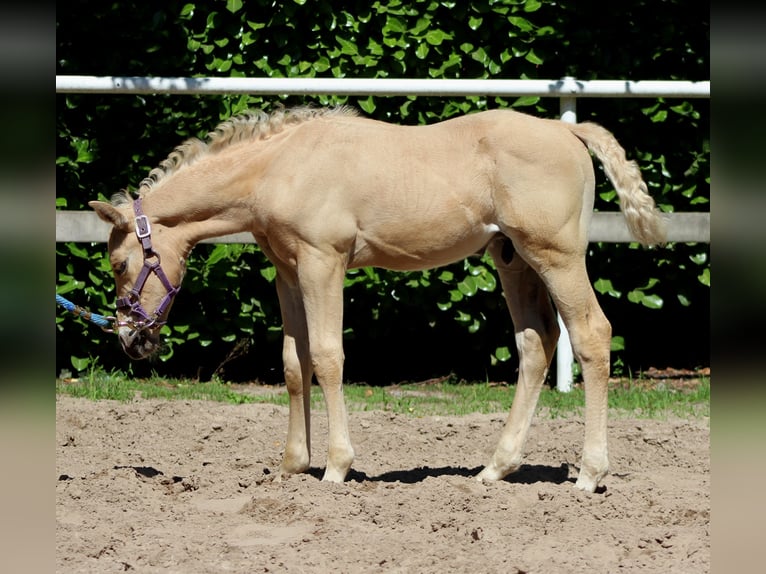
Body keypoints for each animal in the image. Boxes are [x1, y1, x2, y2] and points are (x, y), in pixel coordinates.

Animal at [90, 105, 665, 493]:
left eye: (119, 265)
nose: (131, 340)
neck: (279, 167)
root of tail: (568, 129)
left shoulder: (322, 263)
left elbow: (328, 357)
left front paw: (336, 466)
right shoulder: (287, 272)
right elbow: (294, 362)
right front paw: (294, 464)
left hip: (556, 255)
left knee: (591, 334)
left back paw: (589, 474)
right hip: (513, 260)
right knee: (536, 344)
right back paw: (495, 468)